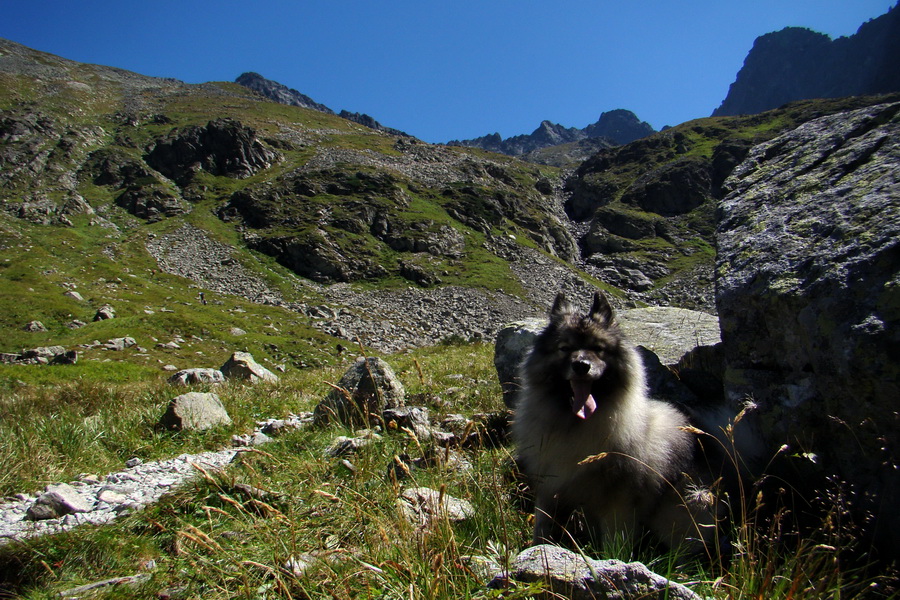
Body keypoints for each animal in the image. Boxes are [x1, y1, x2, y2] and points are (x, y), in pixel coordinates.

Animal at [512, 290, 716, 552]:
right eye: (565, 348)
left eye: (598, 349)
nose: (581, 365)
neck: (575, 427)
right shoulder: (551, 489)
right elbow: (543, 529)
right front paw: (538, 551)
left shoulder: (618, 504)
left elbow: (615, 541)